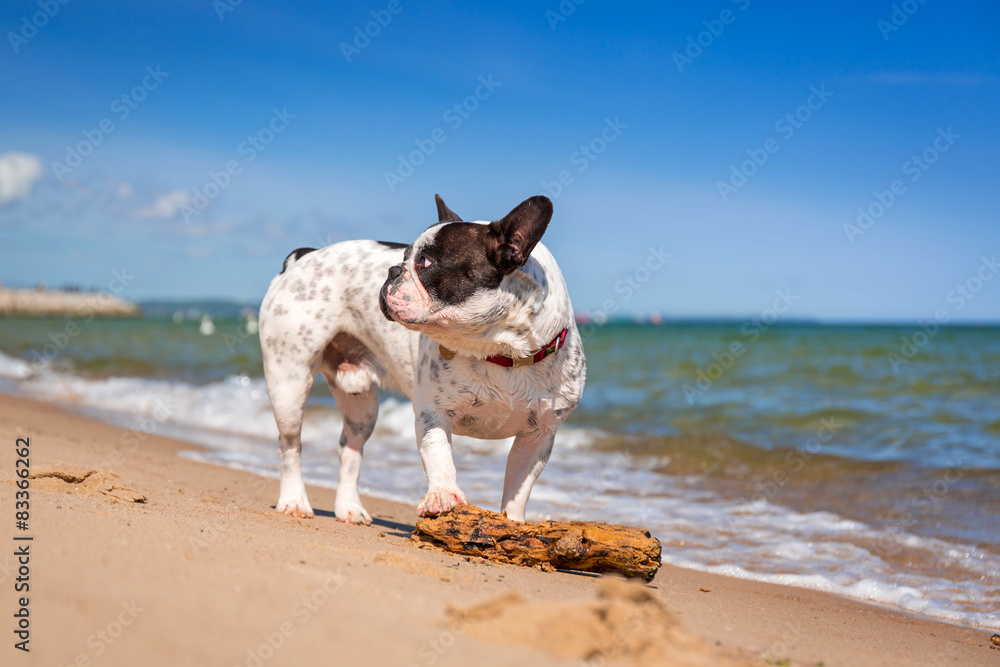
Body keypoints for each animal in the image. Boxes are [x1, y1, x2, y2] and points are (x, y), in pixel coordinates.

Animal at [258, 196, 584, 524]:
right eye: (403, 256)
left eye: (426, 262)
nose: (392, 270)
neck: (501, 351)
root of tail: (303, 256)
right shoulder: (433, 413)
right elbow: (439, 456)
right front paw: (442, 495)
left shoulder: (538, 435)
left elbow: (519, 485)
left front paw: (513, 522)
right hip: (289, 382)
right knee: (290, 444)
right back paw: (294, 500)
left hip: (362, 407)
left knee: (349, 449)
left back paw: (349, 507)